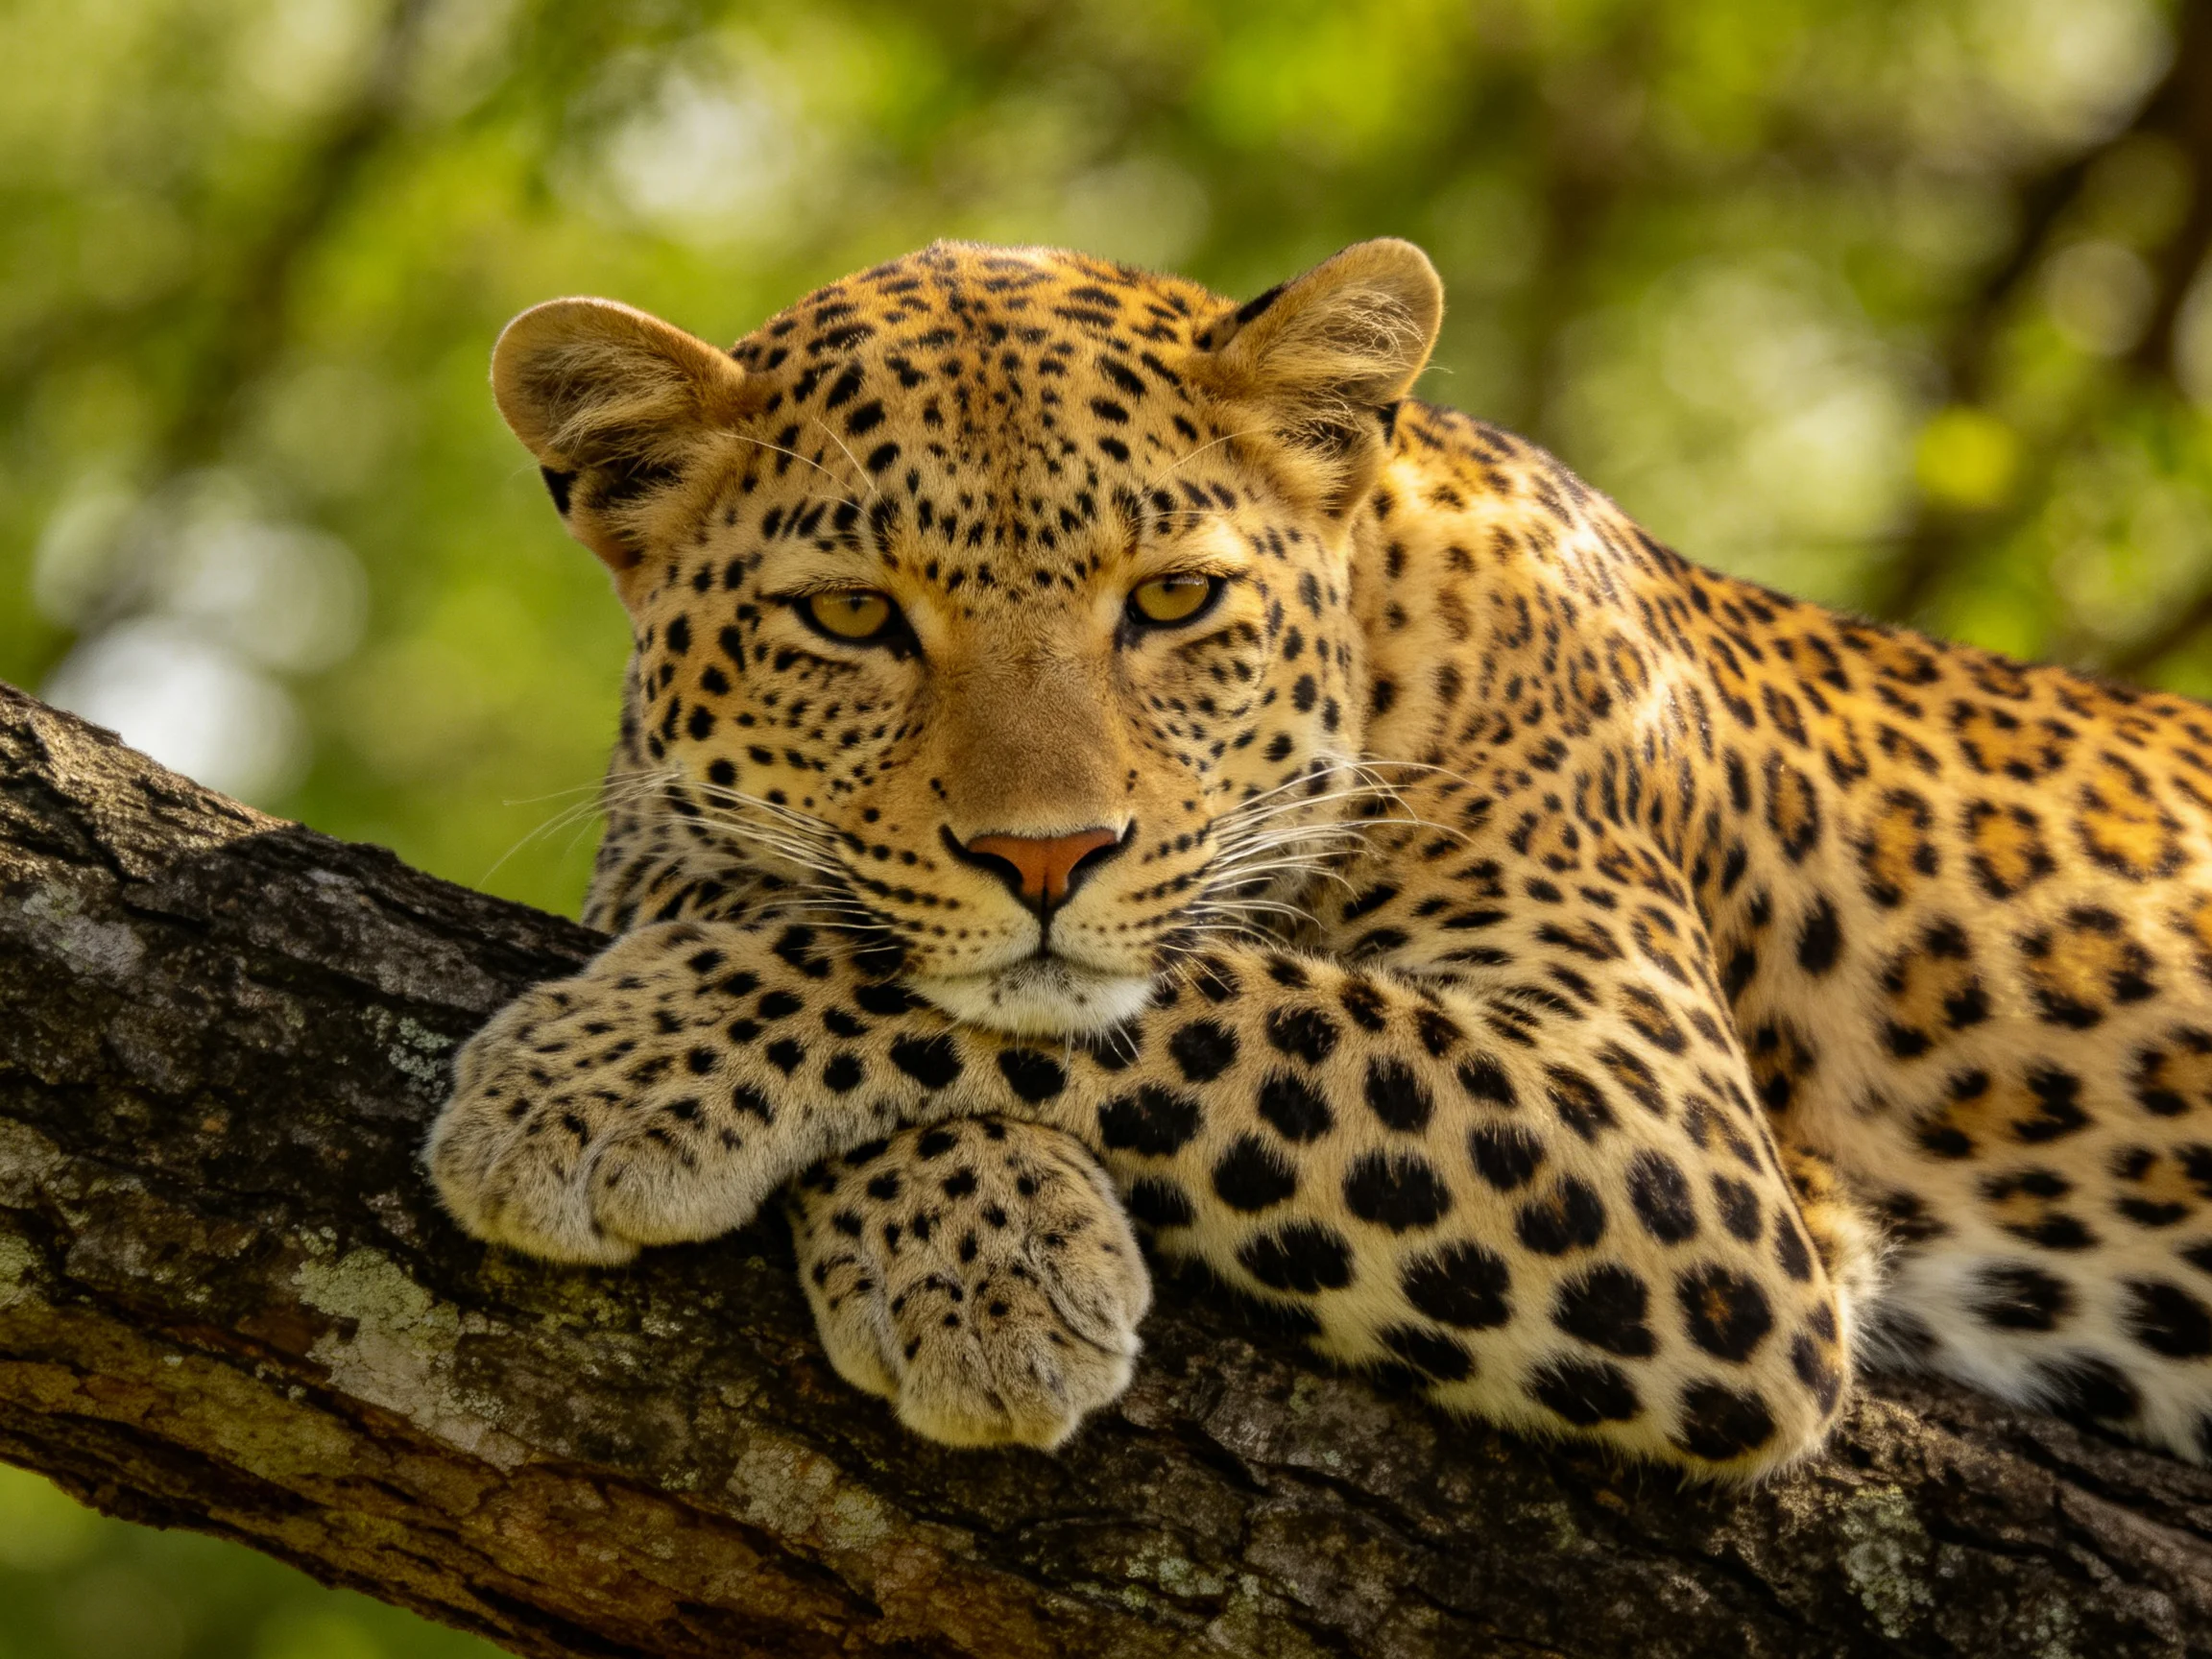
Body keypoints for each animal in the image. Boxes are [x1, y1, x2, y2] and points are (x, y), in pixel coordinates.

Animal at [426, 236, 2212, 1476]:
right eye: (854, 618)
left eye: (1169, 600)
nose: (1046, 857)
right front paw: (981, 1256)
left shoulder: (1677, 1153)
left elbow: (1194, 998)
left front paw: (594, 1082)